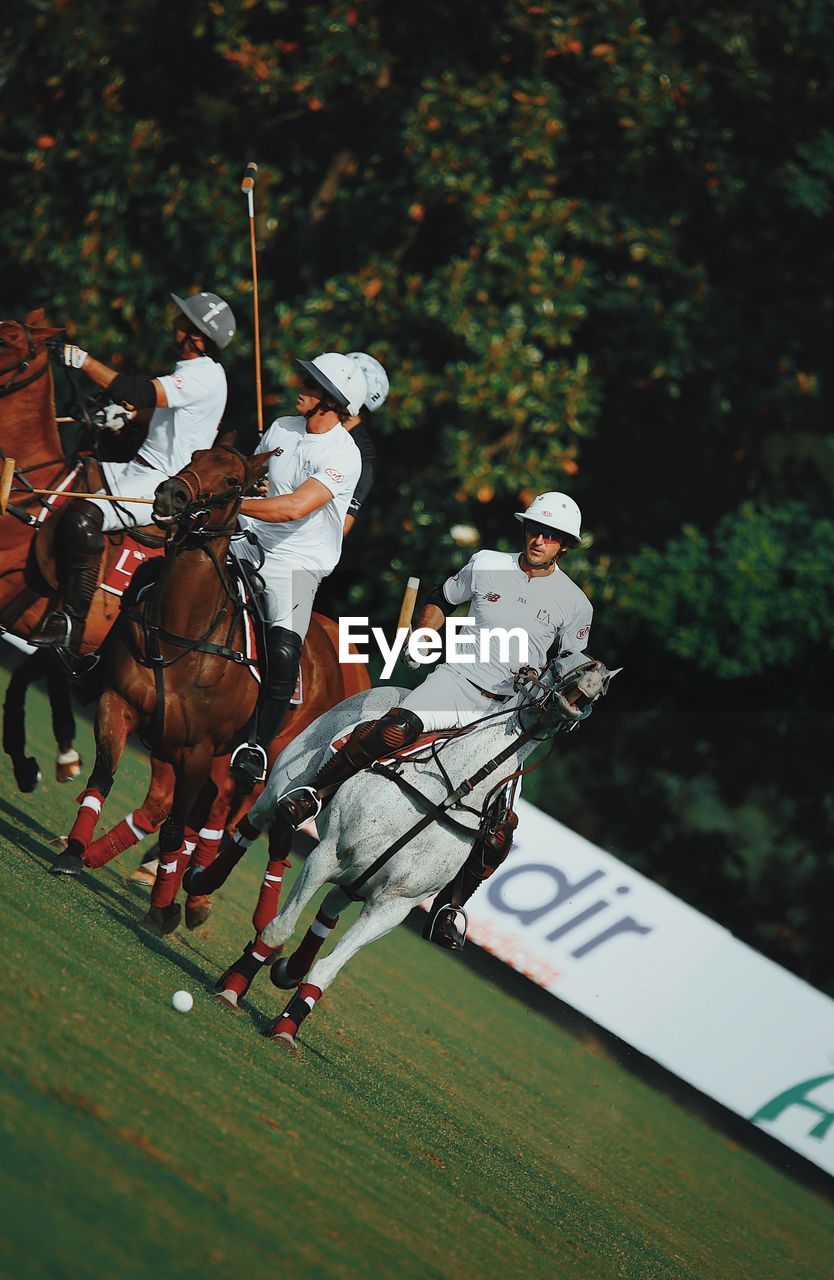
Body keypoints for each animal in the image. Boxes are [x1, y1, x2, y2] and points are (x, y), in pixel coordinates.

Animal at [232, 655, 611, 1044]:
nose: (593, 681)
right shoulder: (327, 855)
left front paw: (286, 1028)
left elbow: (327, 971)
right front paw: (234, 986)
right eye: (563, 659)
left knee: (333, 904)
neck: (452, 791)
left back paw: (289, 969)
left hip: (358, 879)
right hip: (280, 785)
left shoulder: (394, 905)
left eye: (604, 685)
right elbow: (279, 929)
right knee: (251, 824)